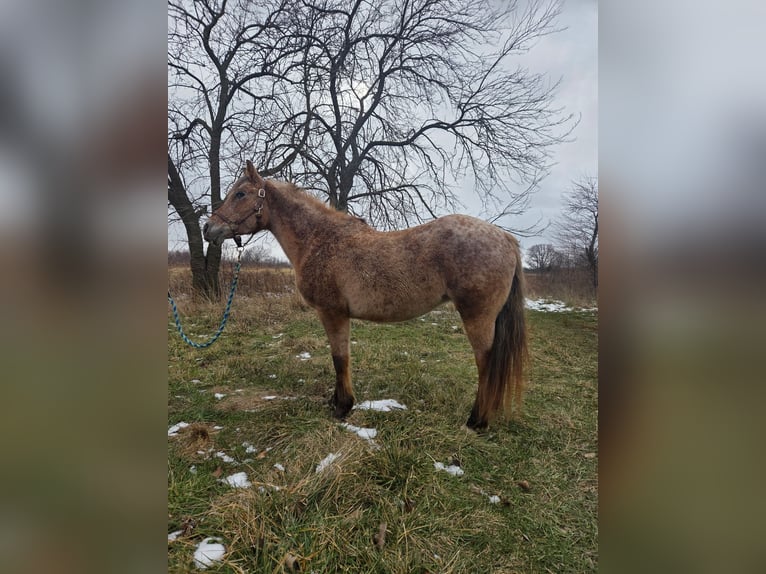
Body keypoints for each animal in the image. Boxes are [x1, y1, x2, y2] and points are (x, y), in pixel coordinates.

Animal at [203, 161, 527, 430]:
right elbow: (341, 357)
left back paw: (476, 421)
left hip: (477, 316)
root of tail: (505, 238)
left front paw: (342, 407)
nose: (209, 228)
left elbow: (339, 357)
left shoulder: (332, 312)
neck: (320, 240)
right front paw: (338, 402)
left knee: (485, 364)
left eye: (241, 194)